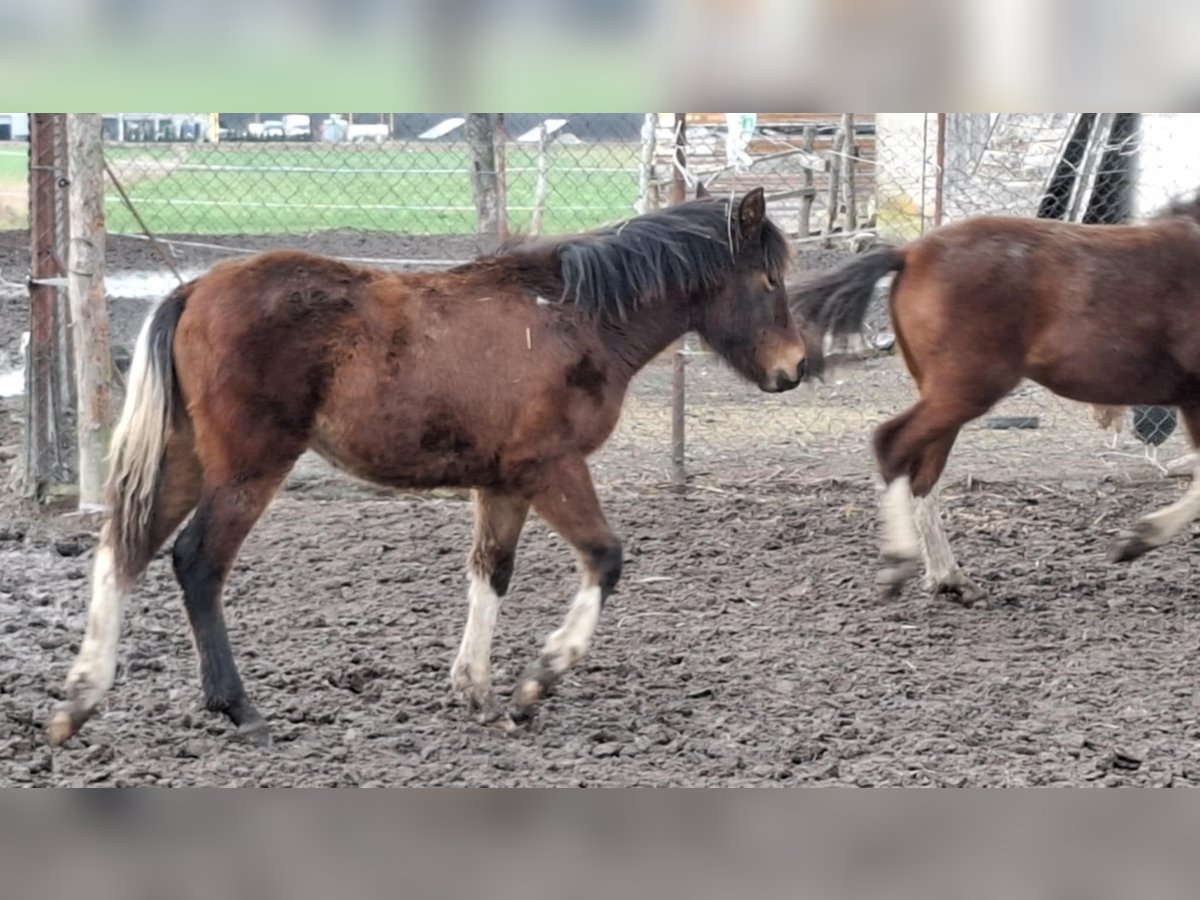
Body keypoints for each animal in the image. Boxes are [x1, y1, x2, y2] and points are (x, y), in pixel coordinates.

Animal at [51, 190, 811, 748]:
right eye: (769, 278)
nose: (795, 368)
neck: (573, 317)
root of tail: (195, 290)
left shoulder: (503, 482)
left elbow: (490, 572)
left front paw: (477, 692)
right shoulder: (551, 468)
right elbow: (604, 557)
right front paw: (536, 682)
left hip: (185, 459)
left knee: (122, 550)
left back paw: (80, 700)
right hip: (248, 467)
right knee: (197, 562)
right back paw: (237, 708)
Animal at [792, 196, 1200, 607]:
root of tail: (910, 252)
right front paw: (1136, 540)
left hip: (946, 393)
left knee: (923, 474)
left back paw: (949, 578)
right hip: (966, 390)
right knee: (892, 444)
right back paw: (899, 565)